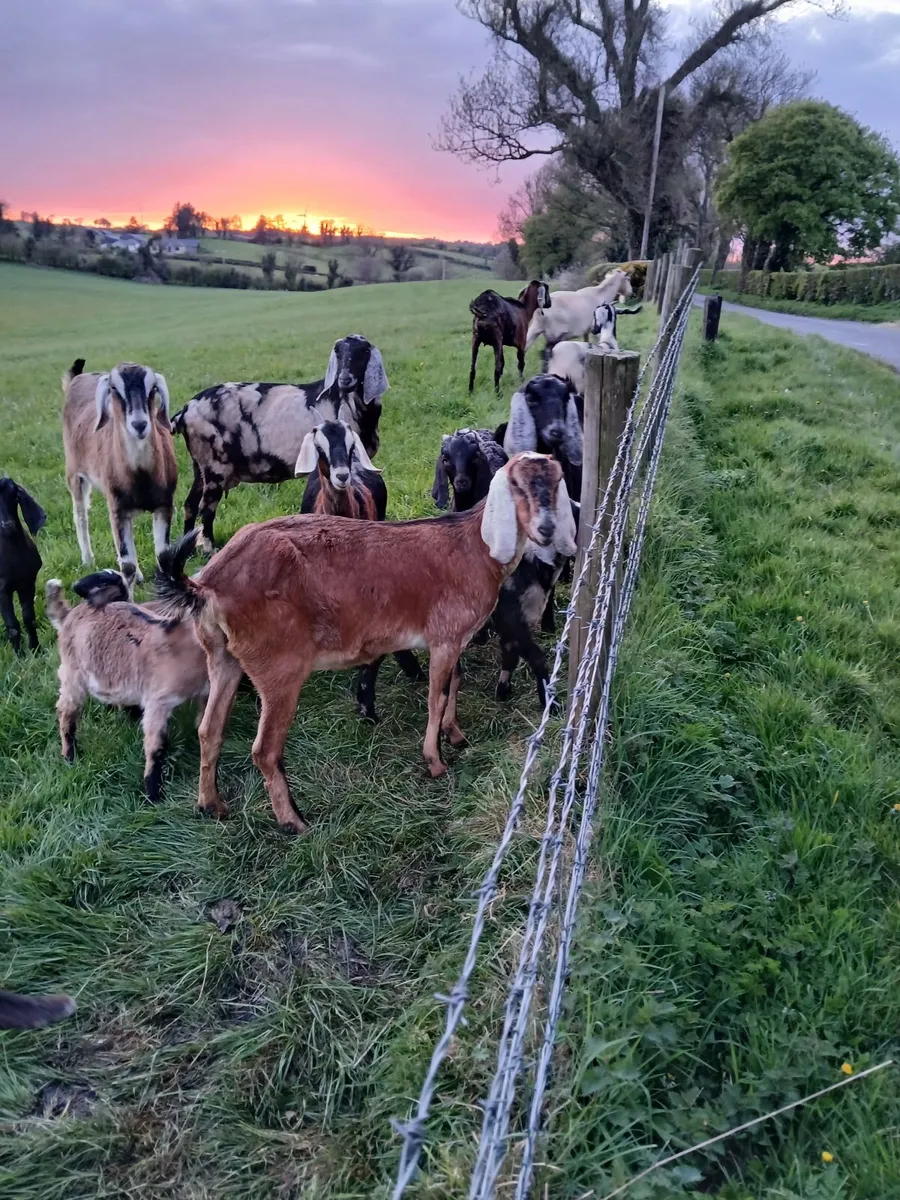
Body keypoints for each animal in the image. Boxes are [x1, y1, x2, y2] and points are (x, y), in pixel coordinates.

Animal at [0, 477, 46, 653]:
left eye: (15, 497)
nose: (7, 525)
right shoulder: (2, 589)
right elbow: (12, 625)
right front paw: (19, 655)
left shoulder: (27, 583)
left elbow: (29, 619)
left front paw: (35, 649)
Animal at [47, 568, 210, 803]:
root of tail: (68, 615)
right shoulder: (158, 701)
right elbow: (156, 745)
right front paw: (154, 792)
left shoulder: (205, 693)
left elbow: (202, 723)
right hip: (72, 674)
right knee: (65, 711)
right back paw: (69, 755)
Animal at [62, 358, 177, 584]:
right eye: (114, 389)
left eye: (153, 388)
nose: (139, 424)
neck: (140, 475)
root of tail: (77, 377)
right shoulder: (117, 507)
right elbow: (127, 565)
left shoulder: (164, 504)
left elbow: (163, 557)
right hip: (74, 474)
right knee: (80, 515)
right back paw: (88, 559)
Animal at [156, 453, 577, 833]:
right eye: (517, 485)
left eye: (556, 482)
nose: (546, 528)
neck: (473, 546)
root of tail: (207, 584)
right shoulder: (444, 638)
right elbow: (437, 696)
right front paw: (435, 761)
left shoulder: (453, 637)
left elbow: (454, 685)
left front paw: (455, 735)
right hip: (278, 666)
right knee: (265, 750)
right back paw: (293, 821)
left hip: (223, 657)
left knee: (209, 730)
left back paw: (211, 805)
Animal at [173, 334, 388, 551]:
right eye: (338, 351)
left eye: (364, 351)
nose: (344, 380)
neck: (344, 400)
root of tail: (185, 411)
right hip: (215, 466)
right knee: (206, 508)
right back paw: (209, 548)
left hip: (199, 466)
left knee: (190, 504)